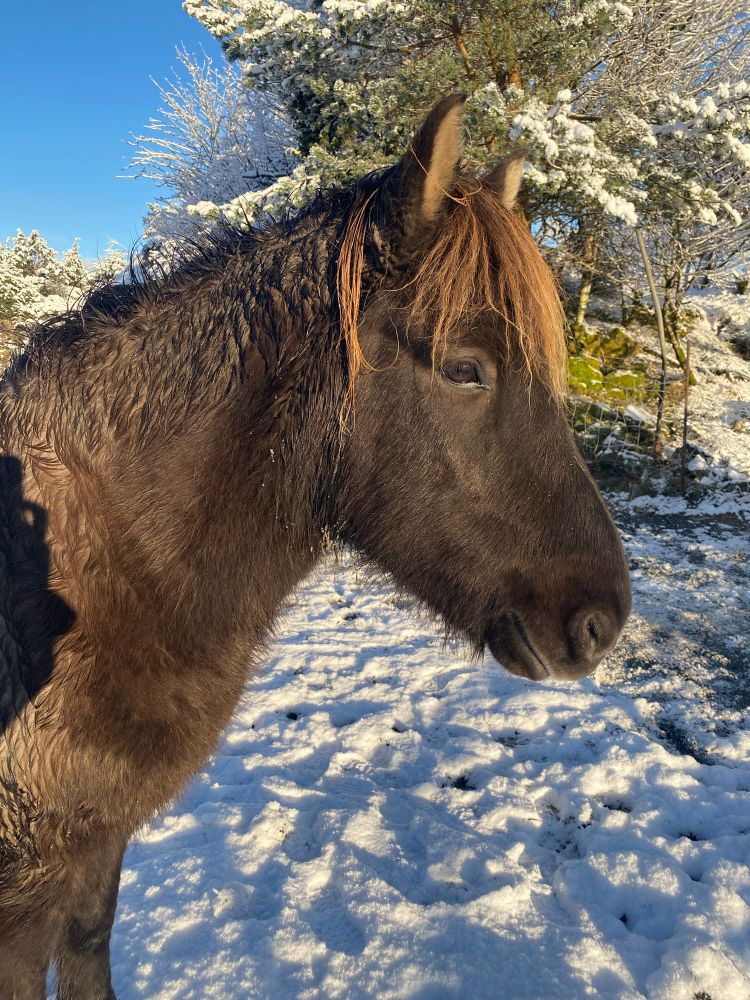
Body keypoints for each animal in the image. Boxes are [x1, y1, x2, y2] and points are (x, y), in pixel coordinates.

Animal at [0, 96, 631, 998]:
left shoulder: (97, 845)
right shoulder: (28, 896)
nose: (601, 620)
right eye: (464, 369)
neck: (92, 573)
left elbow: (90, 949)